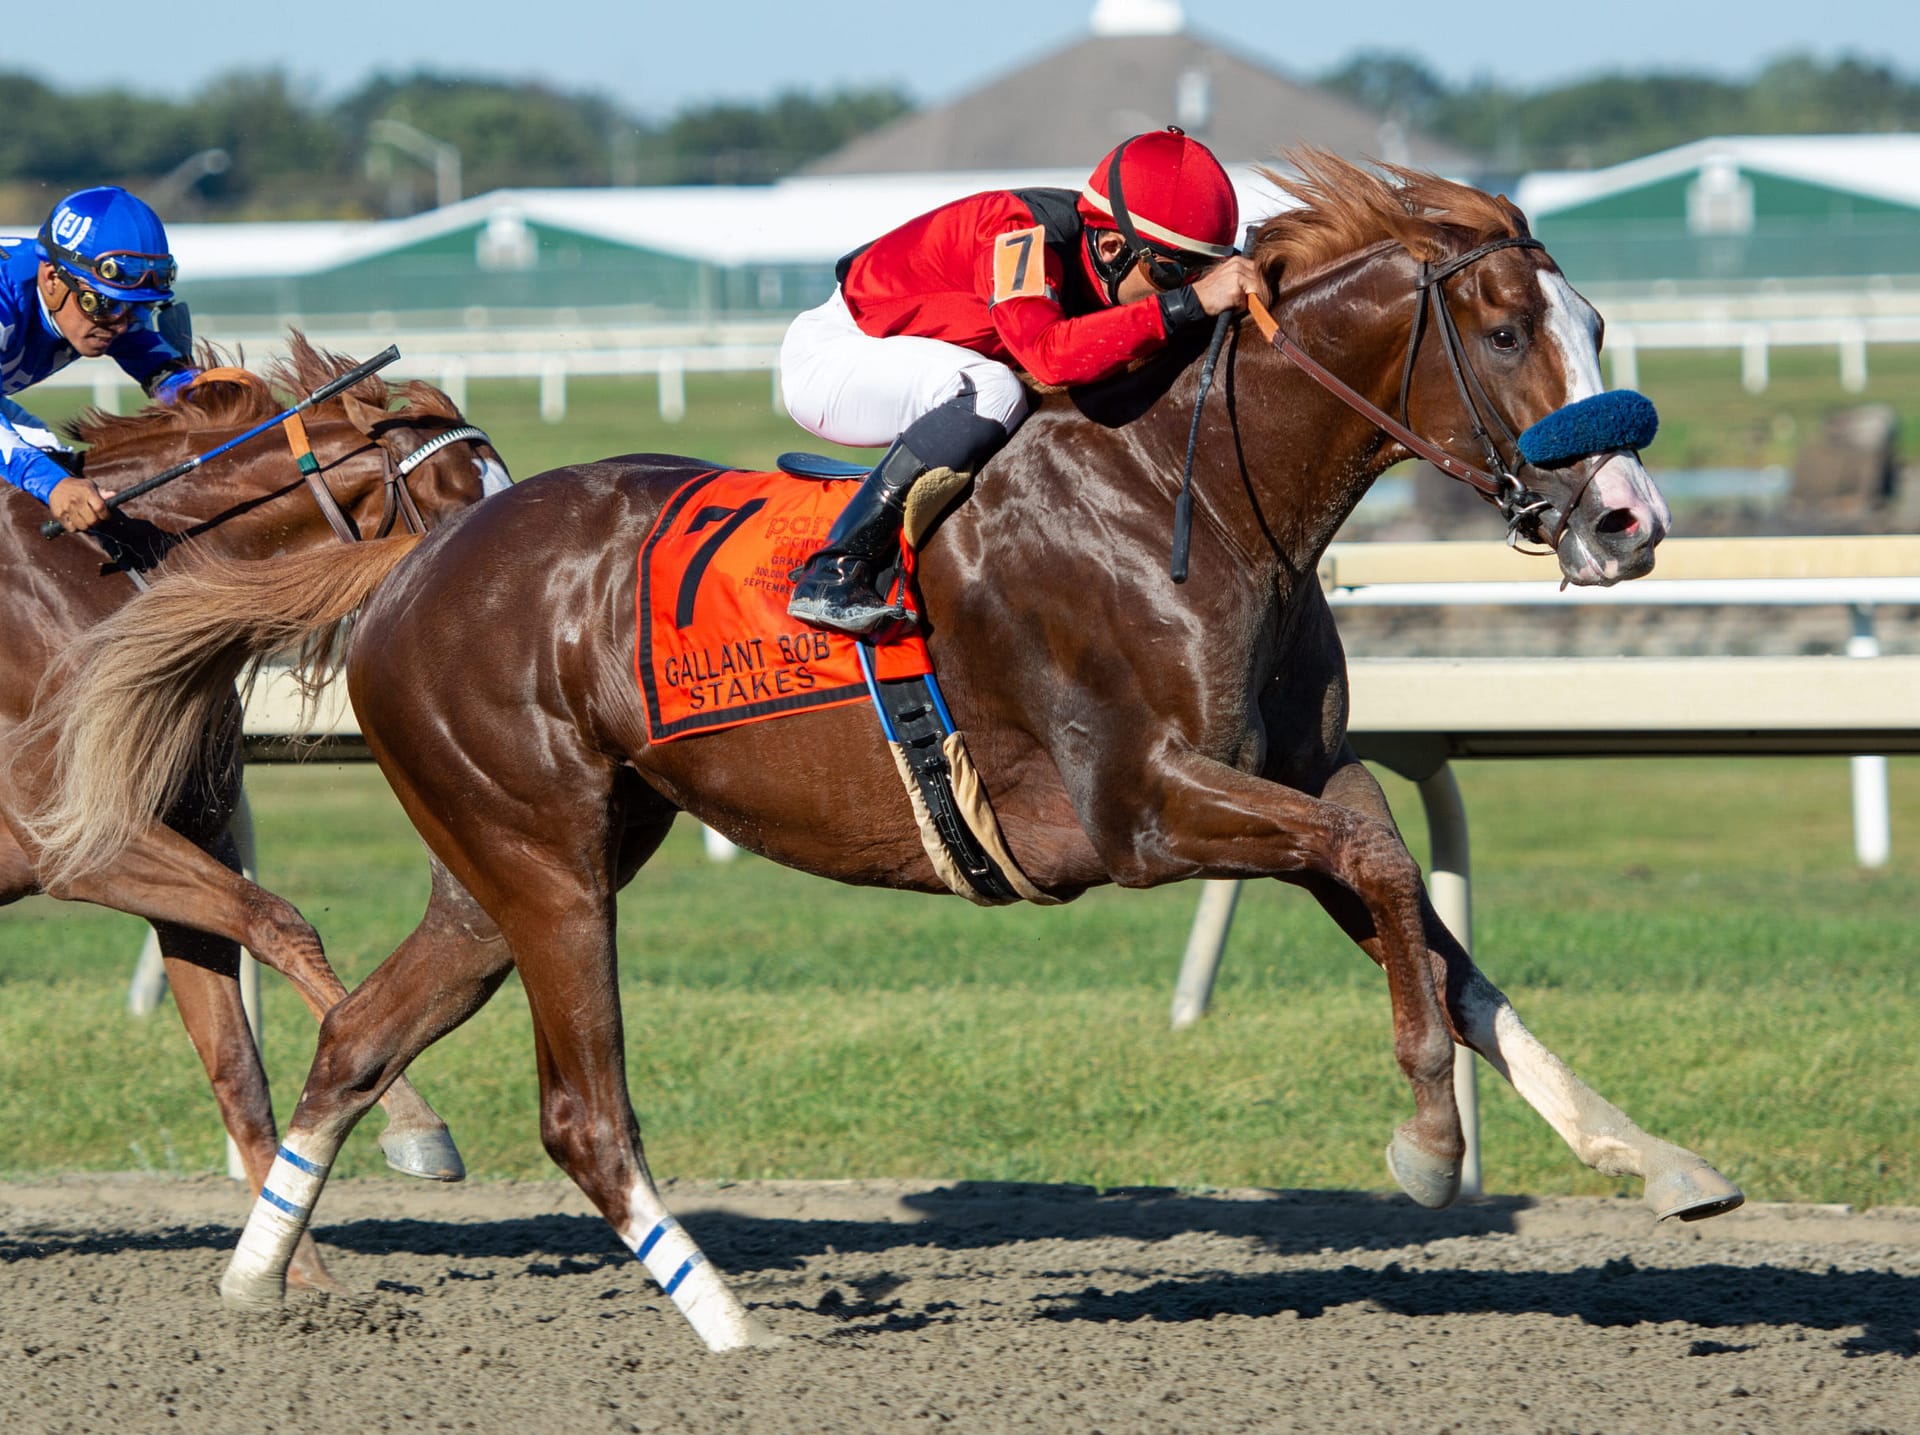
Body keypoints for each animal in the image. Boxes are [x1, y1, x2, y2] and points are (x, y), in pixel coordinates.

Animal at [0, 336, 510, 1290]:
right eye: (461, 495)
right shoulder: (83, 846)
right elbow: (281, 923)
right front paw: (419, 1130)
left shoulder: (184, 840)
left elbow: (236, 1063)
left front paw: (294, 1267)